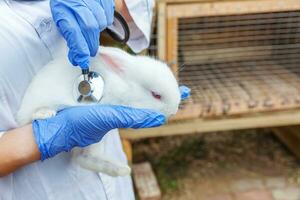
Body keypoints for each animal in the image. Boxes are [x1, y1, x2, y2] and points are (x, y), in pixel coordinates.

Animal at [16, 45, 180, 177]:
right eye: (156, 95)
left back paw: (122, 169)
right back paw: (45, 113)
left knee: (82, 158)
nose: (174, 111)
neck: (122, 85)